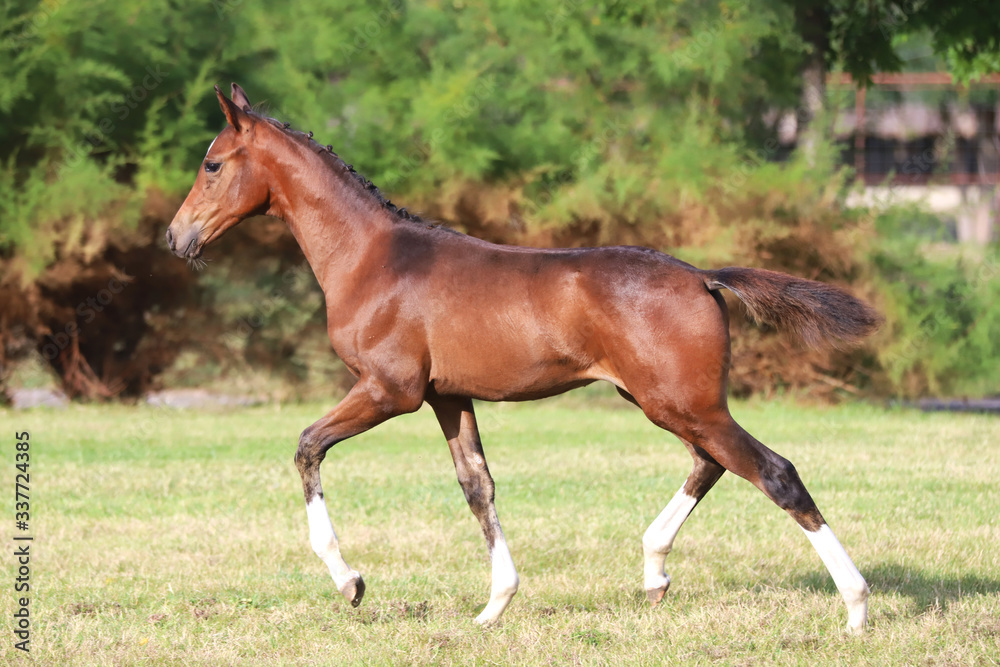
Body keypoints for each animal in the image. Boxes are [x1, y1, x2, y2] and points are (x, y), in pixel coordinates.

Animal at [166, 84, 880, 633]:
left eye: (212, 164)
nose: (176, 237)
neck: (371, 258)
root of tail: (703, 277)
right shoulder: (446, 396)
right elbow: (477, 487)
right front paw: (494, 605)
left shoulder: (389, 390)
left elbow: (308, 446)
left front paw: (351, 583)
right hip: (667, 400)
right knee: (712, 464)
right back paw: (654, 573)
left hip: (681, 401)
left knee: (773, 471)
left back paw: (855, 607)